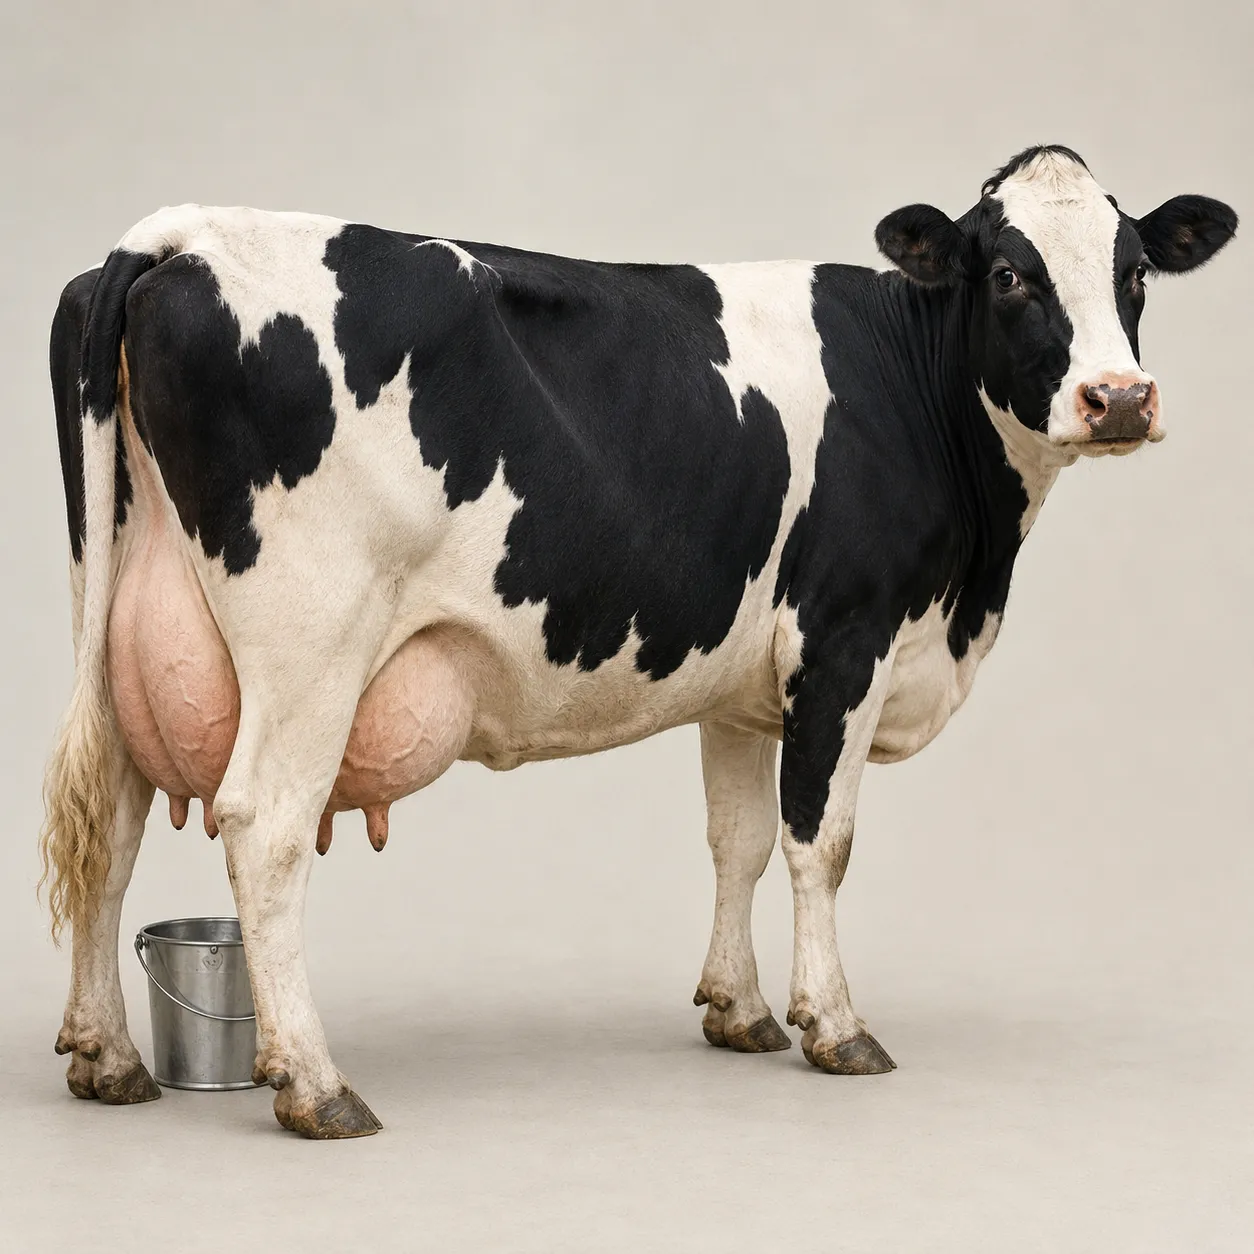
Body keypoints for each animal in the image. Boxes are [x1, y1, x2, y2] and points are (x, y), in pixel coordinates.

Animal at [41, 145, 1237, 1138]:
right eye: (1010, 276)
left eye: (1135, 272)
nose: (1119, 397)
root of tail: (181, 234)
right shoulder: (844, 644)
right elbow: (821, 844)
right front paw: (834, 1024)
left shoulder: (744, 687)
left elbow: (736, 839)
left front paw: (739, 1010)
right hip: (312, 642)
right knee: (265, 828)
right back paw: (316, 1086)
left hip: (115, 619)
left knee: (113, 816)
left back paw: (108, 1058)